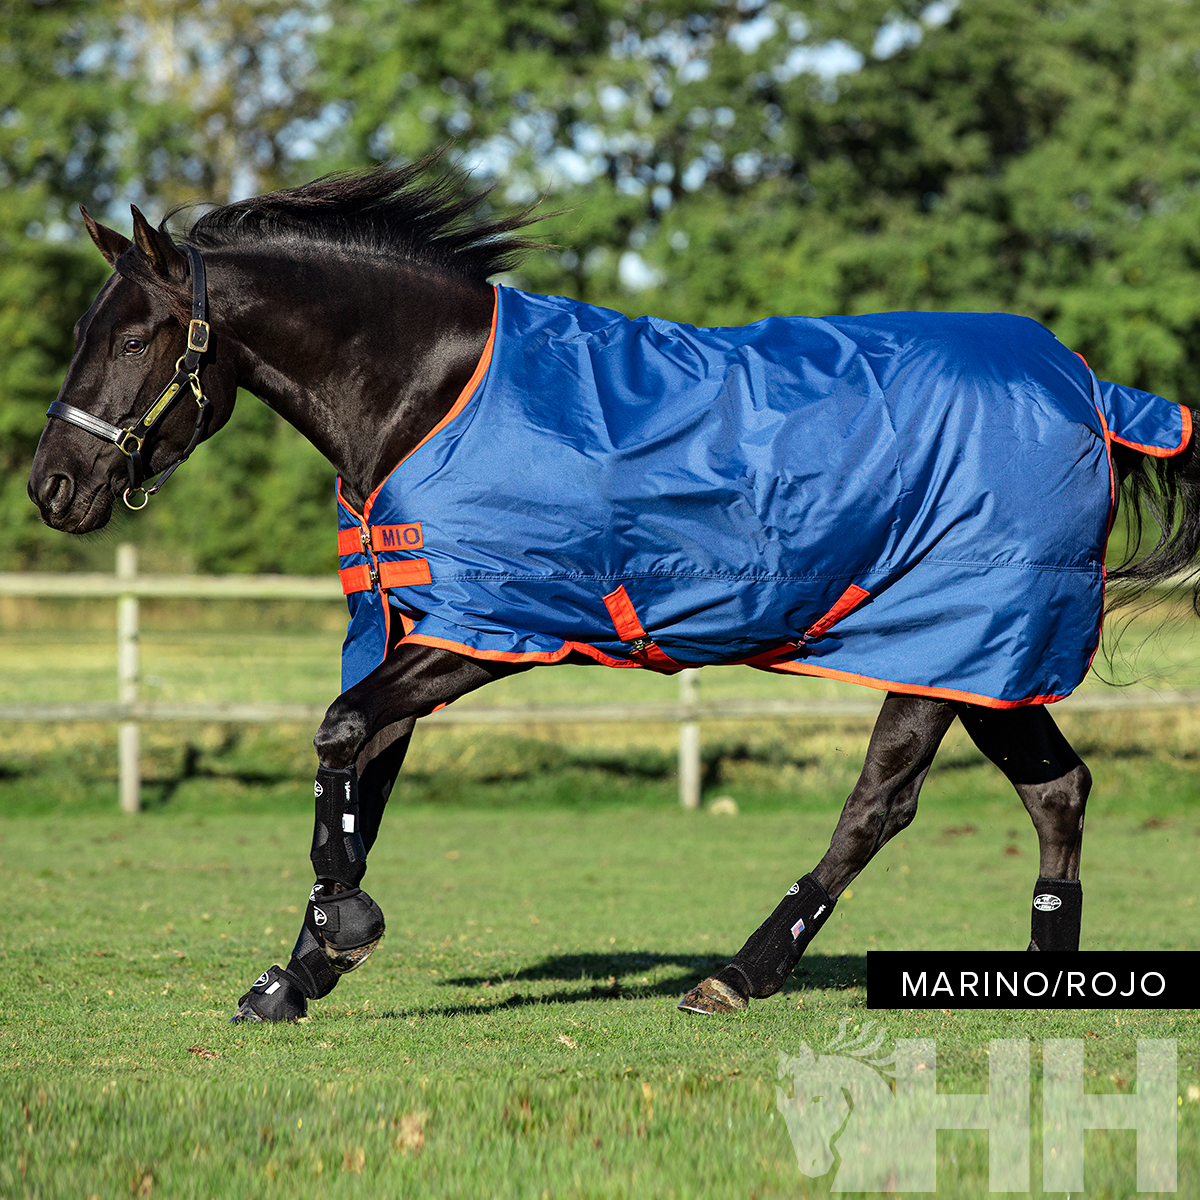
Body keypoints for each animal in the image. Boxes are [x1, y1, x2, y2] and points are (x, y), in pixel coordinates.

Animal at [27, 161, 1200, 1022]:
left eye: (130, 337)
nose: (52, 488)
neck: (433, 392)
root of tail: (1086, 388)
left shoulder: (489, 631)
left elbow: (339, 734)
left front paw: (341, 929)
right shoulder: (410, 626)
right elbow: (356, 771)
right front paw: (300, 970)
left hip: (945, 648)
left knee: (880, 807)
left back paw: (740, 973)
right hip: (989, 663)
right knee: (1058, 790)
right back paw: (1045, 974)